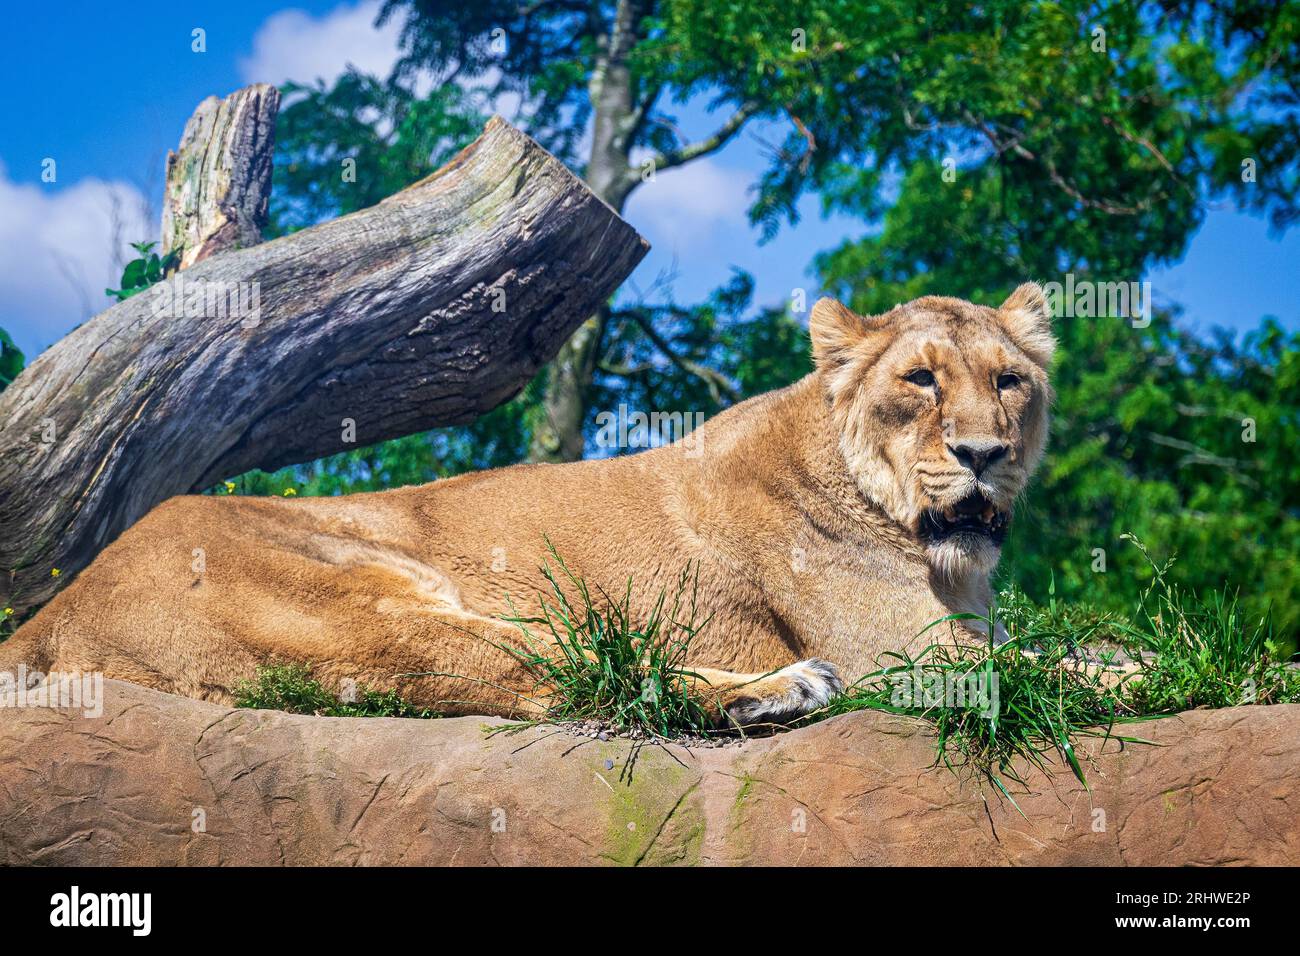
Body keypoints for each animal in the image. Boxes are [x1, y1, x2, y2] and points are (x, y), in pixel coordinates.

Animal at [1, 283, 1054, 726]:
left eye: (1009, 381)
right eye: (920, 380)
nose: (984, 456)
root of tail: (53, 609)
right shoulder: (905, 655)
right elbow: (1065, 667)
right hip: (351, 606)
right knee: (574, 672)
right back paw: (778, 689)